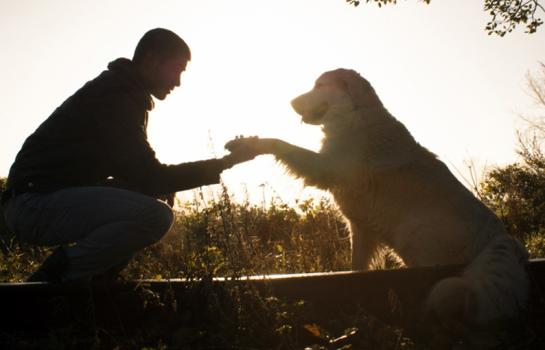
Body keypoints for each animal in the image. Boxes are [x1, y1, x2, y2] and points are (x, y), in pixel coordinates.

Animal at [225, 69, 528, 348]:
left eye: (320, 85)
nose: (291, 102)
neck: (354, 116)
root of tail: (498, 237)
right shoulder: (361, 230)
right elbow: (356, 269)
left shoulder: (326, 167)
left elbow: (282, 144)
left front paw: (251, 143)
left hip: (415, 239)